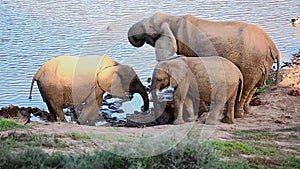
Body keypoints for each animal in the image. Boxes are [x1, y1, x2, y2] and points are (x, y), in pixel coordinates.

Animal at [127, 12, 282, 117]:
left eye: (146, 29)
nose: (144, 110)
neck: (173, 20)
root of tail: (272, 46)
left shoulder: (190, 49)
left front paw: (200, 113)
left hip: (252, 60)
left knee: (247, 85)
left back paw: (237, 115)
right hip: (261, 63)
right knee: (253, 86)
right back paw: (246, 112)